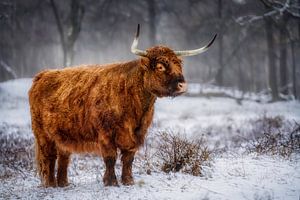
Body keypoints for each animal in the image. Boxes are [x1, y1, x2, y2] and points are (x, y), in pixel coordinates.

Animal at [28, 24, 216, 187]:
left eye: (178, 64)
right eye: (160, 66)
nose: (182, 85)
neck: (136, 107)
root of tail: (43, 74)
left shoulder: (137, 133)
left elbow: (128, 158)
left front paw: (128, 181)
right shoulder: (106, 134)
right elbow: (110, 158)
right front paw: (111, 182)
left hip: (63, 134)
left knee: (64, 156)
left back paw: (64, 184)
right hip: (43, 134)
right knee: (49, 157)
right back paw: (51, 185)